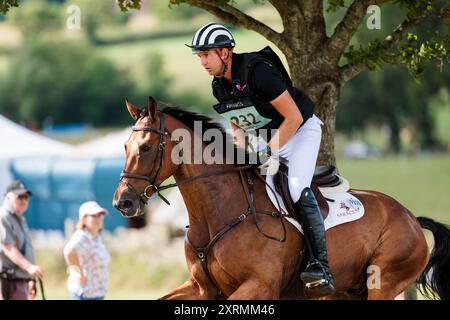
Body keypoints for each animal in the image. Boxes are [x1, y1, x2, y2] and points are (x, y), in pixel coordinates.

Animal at [112, 97, 450, 300]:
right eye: (125, 146)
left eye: (145, 148)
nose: (123, 202)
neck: (217, 213)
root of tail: (411, 217)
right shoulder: (201, 288)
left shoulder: (259, 286)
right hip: (346, 290)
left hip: (383, 280)